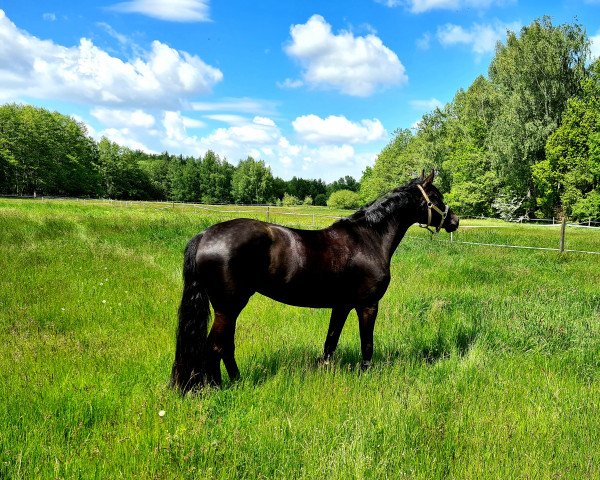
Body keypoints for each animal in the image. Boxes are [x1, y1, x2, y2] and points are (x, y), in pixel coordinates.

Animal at [169, 170, 460, 394]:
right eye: (436, 197)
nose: (454, 221)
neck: (369, 238)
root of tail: (205, 234)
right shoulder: (367, 305)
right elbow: (367, 343)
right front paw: (366, 373)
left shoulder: (341, 305)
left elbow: (330, 341)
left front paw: (325, 370)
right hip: (228, 307)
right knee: (215, 346)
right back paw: (216, 388)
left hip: (228, 308)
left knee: (224, 346)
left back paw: (236, 381)